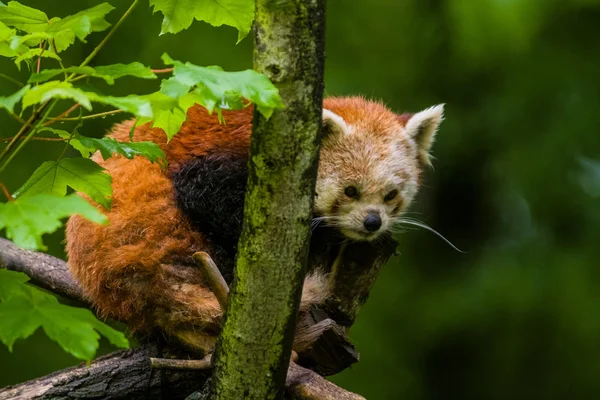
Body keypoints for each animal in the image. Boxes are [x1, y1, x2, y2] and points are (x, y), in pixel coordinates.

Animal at [65, 96, 442, 354]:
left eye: (391, 195)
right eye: (350, 191)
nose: (372, 222)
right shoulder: (223, 165)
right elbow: (208, 196)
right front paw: (318, 235)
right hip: (155, 227)